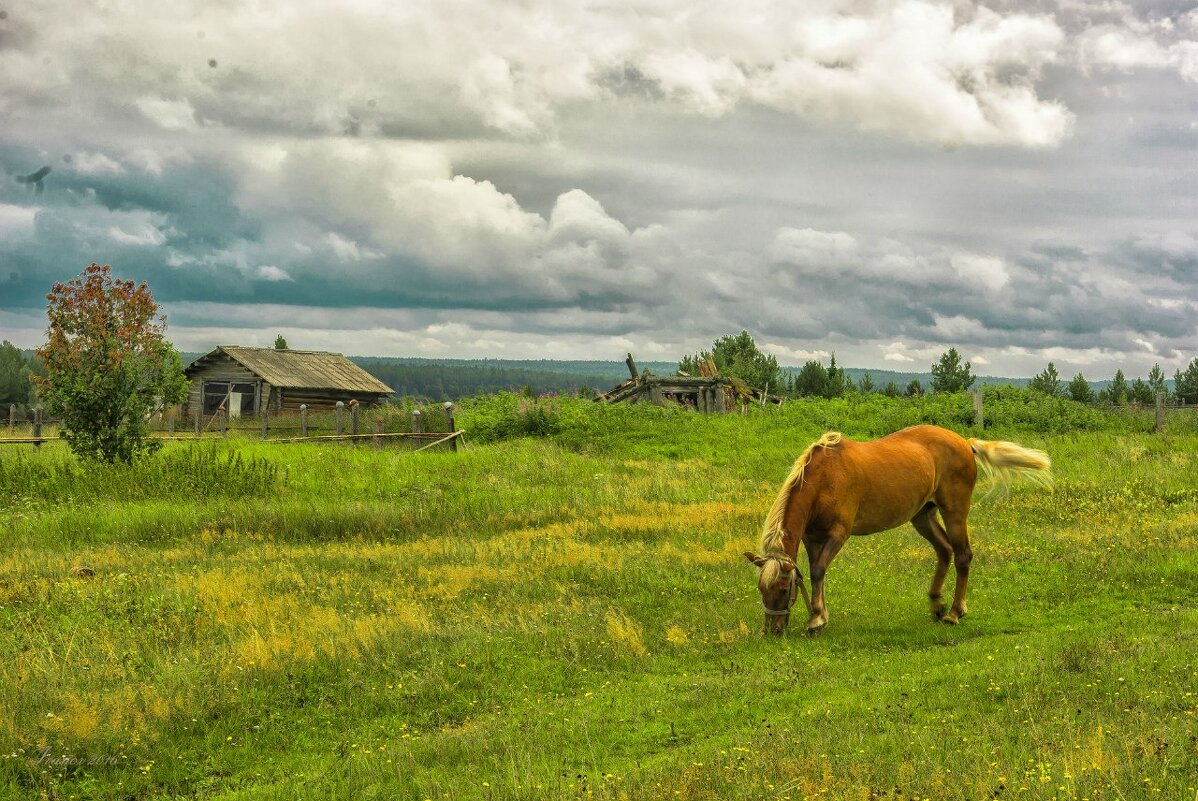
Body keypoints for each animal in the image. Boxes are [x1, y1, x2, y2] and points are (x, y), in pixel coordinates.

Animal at [742, 421, 1044, 632]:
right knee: (944, 550)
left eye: (784, 589)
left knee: (962, 555)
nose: (773, 630)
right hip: (922, 516)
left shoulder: (838, 534)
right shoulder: (812, 537)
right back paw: (937, 603)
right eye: (761, 590)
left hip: (954, 512)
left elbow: (818, 571)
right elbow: (819, 573)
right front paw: (820, 615)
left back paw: (954, 612)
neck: (824, 478)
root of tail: (964, 442)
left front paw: (816, 620)